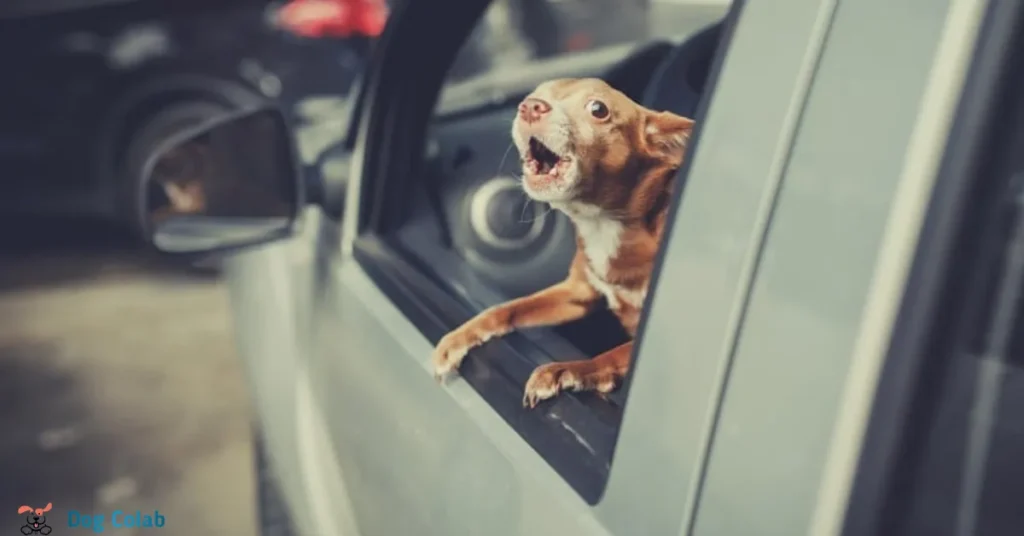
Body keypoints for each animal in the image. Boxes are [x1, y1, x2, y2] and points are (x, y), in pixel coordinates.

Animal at [428, 77, 692, 409]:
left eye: (598, 109)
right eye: (537, 94)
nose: (530, 106)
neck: (604, 223)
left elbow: (615, 353)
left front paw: (569, 370)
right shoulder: (576, 293)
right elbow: (507, 308)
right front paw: (460, 337)